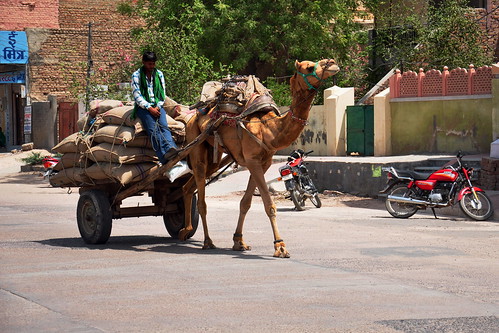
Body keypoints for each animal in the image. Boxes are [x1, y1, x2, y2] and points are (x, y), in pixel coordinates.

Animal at [179, 59, 340, 256]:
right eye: (309, 67)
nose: (332, 63)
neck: (269, 129)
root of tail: (191, 118)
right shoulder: (252, 160)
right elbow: (269, 204)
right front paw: (280, 246)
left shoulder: (262, 162)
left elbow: (245, 203)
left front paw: (239, 242)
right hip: (197, 146)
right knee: (201, 200)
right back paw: (208, 241)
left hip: (215, 156)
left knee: (187, 187)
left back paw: (185, 231)